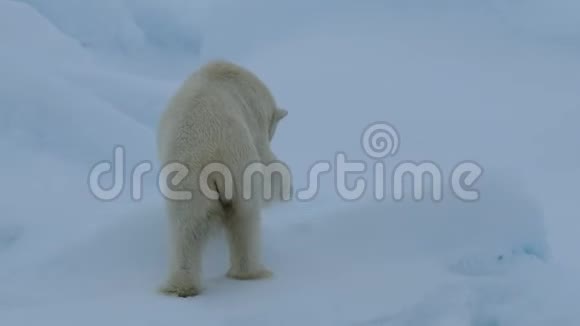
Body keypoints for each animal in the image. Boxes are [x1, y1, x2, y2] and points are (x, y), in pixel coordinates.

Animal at [156, 59, 290, 296]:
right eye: (272, 128)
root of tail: (211, 156)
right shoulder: (254, 122)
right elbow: (268, 161)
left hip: (186, 181)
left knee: (185, 226)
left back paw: (181, 285)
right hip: (240, 167)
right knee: (246, 217)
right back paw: (252, 272)